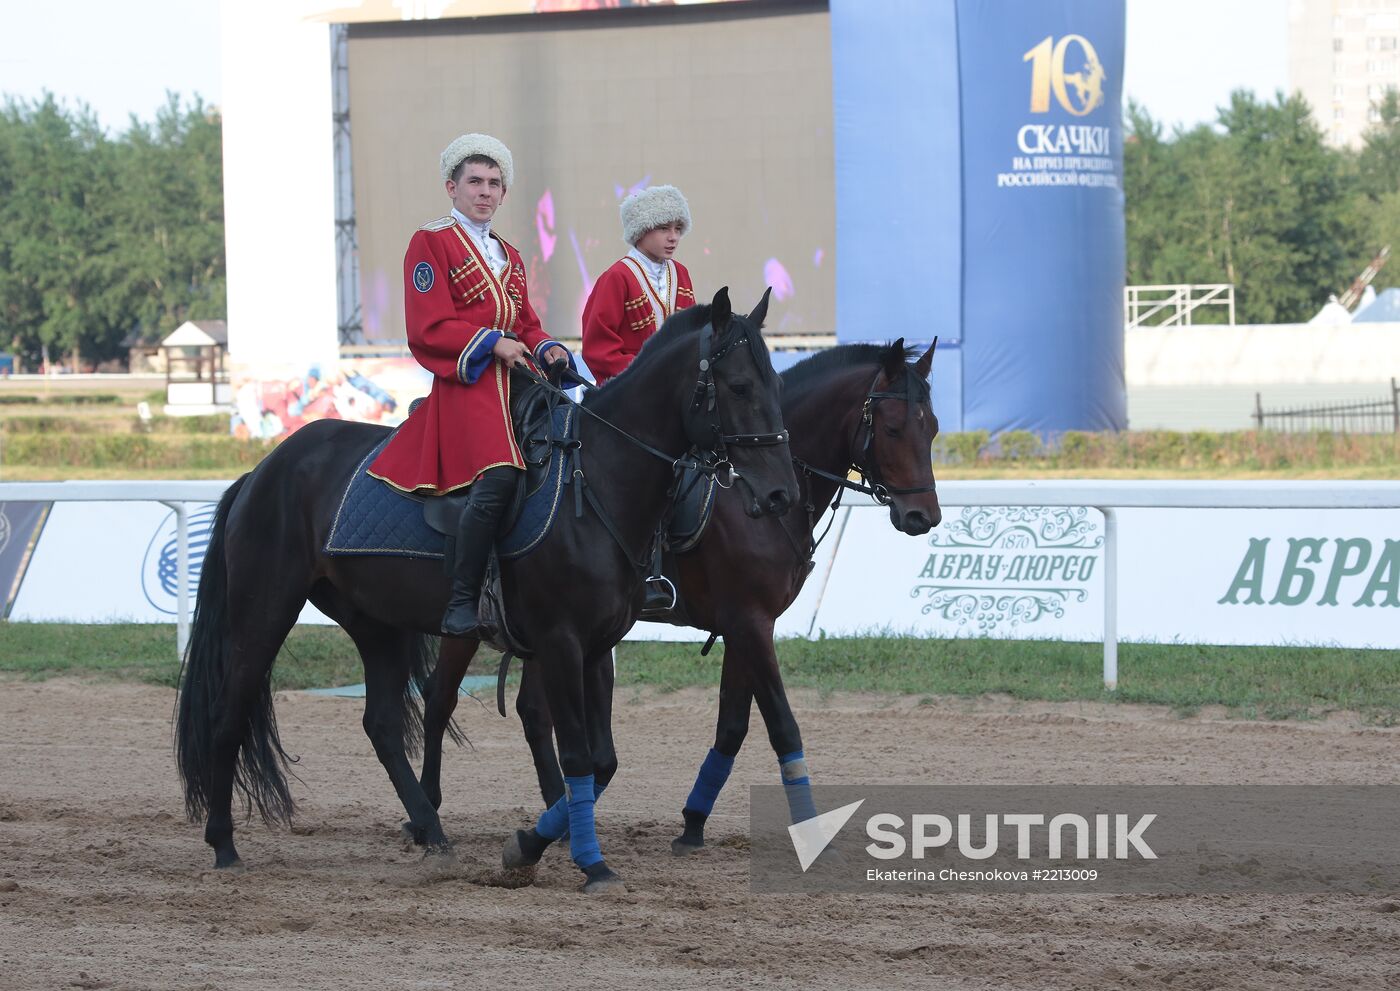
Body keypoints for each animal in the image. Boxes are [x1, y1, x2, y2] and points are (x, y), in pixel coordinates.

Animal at [172, 286, 800, 890]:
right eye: (739, 385)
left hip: (377, 625)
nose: (780, 495)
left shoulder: (599, 645)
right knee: (229, 713)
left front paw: (535, 843)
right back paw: (224, 843)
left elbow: (600, 761)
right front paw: (589, 863)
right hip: (264, 612)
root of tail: (264, 469)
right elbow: (577, 754)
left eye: (777, 384)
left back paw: (431, 831)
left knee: (382, 725)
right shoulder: (563, 641)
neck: (595, 480)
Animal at [414, 337, 940, 862]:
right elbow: (781, 725)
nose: (924, 516)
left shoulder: (747, 625)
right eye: (893, 428)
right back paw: (428, 819)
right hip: (474, 627)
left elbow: (732, 727)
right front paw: (810, 832)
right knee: (439, 699)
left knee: (531, 712)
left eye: (932, 428)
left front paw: (692, 822)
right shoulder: (747, 621)